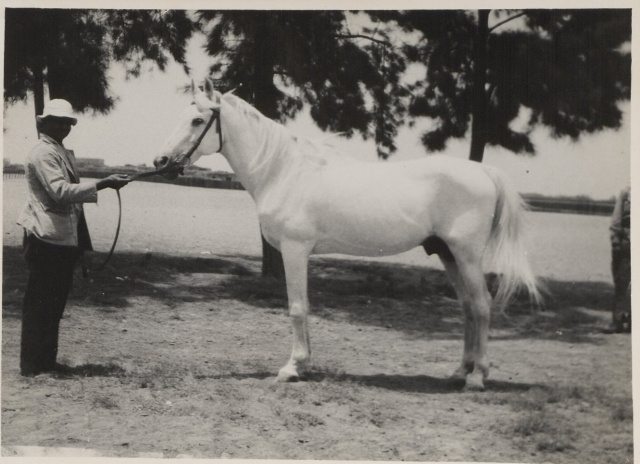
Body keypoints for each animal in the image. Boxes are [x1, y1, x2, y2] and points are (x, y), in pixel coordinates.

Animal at [154, 78, 540, 390]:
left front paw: (291, 369)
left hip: (467, 255)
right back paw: (460, 372)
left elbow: (297, 307)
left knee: (482, 306)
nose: (160, 161)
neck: (283, 170)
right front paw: (305, 364)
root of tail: (484, 171)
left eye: (198, 120)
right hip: (448, 255)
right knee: (468, 309)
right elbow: (305, 307)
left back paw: (477, 378)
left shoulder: (294, 249)